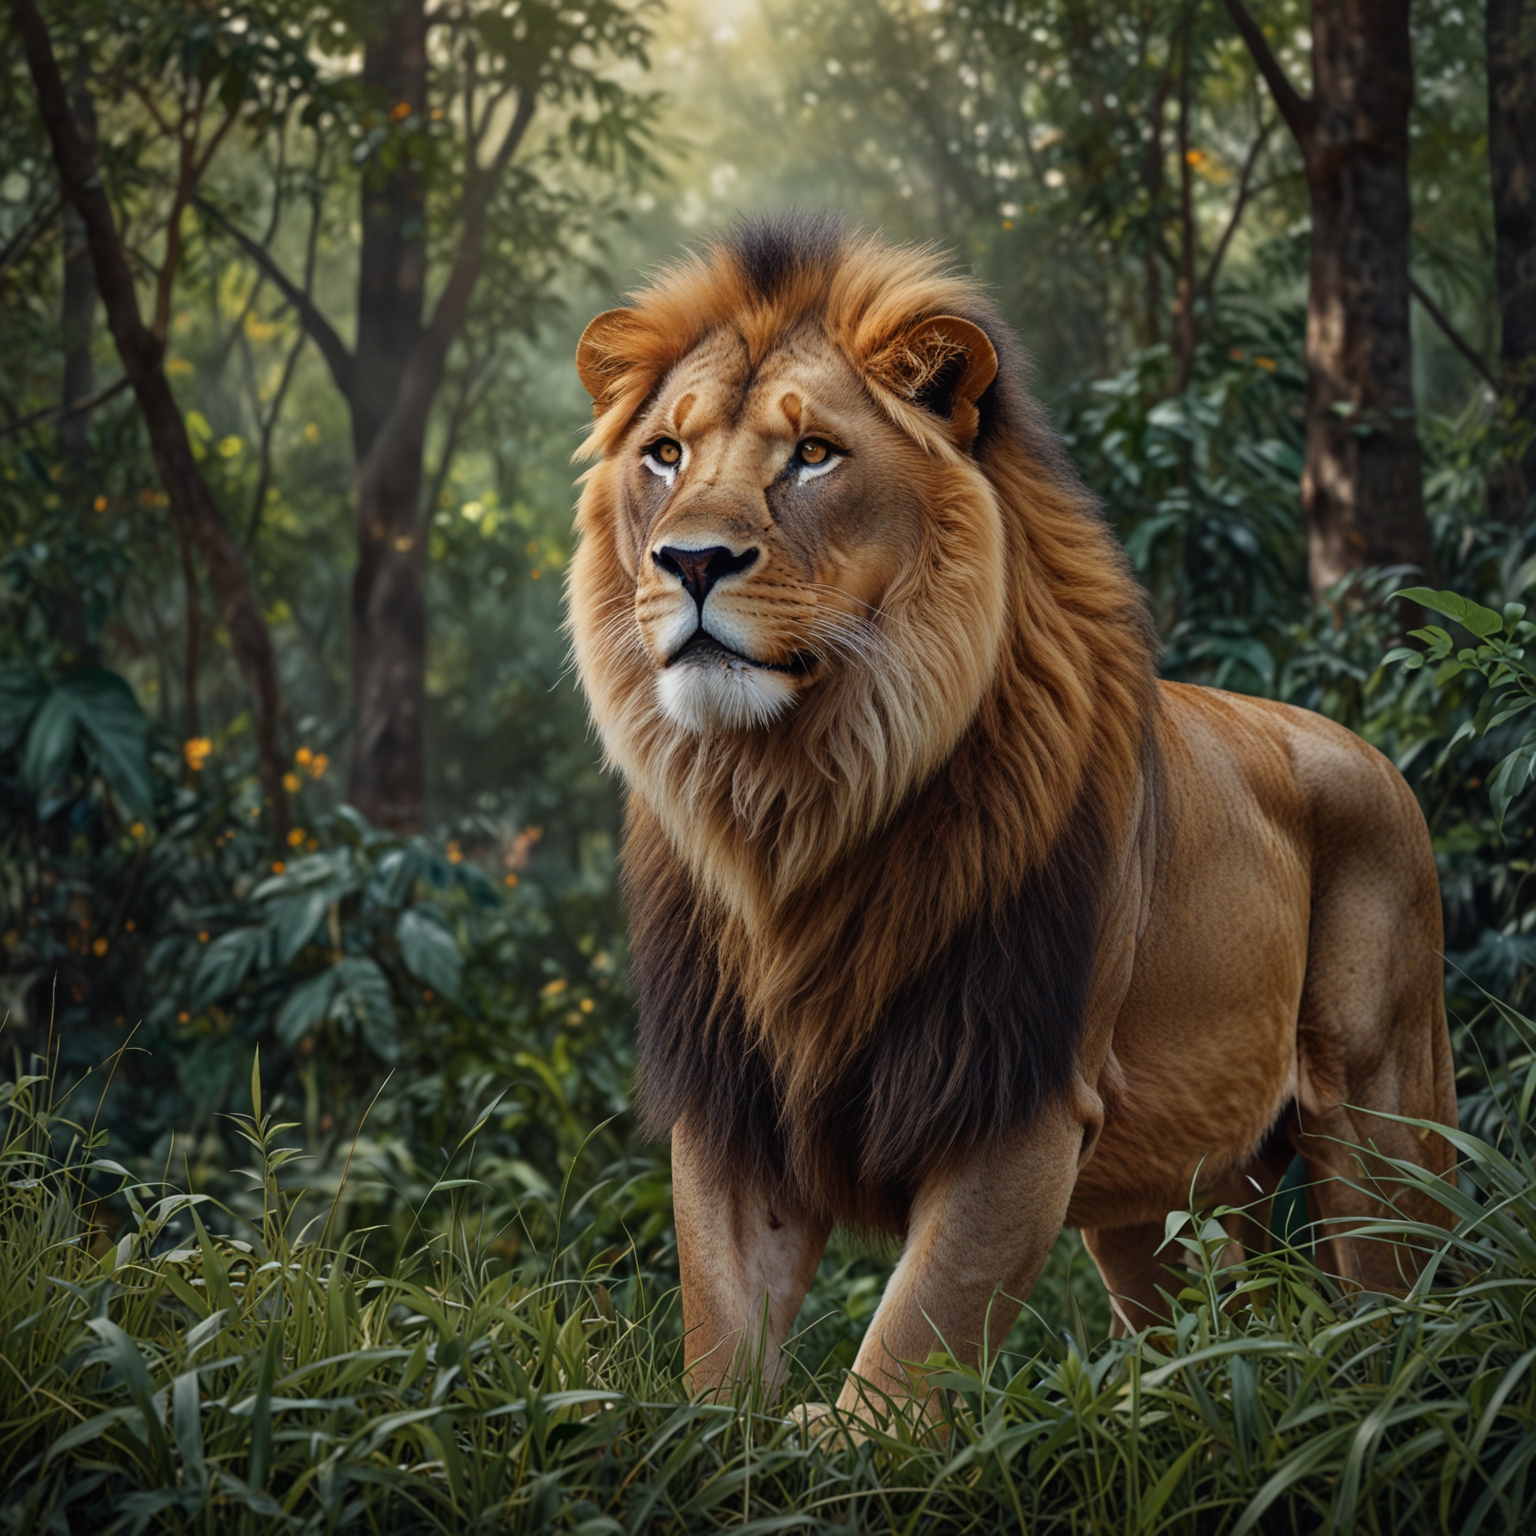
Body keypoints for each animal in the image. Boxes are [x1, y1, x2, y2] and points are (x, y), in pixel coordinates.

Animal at [566, 215, 1457, 1420]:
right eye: (664, 454)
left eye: (814, 455)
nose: (691, 559)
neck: (799, 803)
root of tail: (1371, 751)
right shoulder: (733, 1103)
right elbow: (720, 1334)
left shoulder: (1020, 1095)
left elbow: (916, 1337)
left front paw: (848, 1431)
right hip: (1162, 1192)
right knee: (1215, 1315)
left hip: (1382, 1111)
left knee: (1405, 1309)